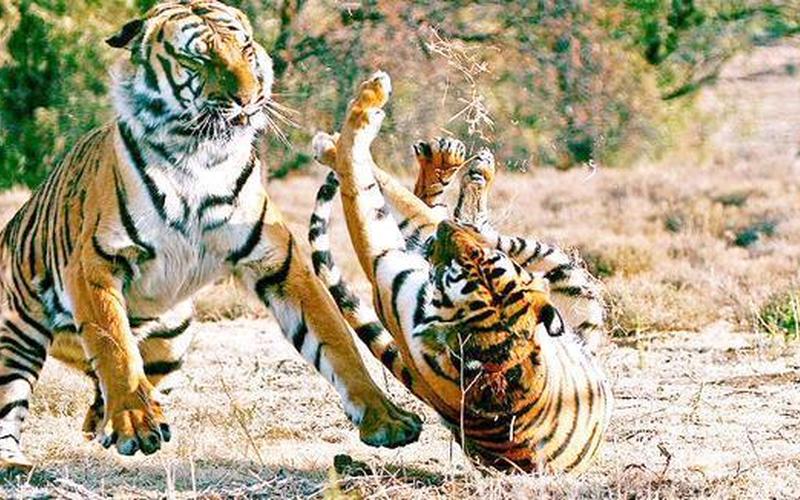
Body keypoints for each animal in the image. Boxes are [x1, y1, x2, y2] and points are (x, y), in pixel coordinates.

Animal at [0, 1, 421, 471]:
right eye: (198, 59)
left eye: (246, 49)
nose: (248, 98)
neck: (199, 157)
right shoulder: (96, 262)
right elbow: (114, 346)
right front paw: (134, 423)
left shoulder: (279, 261)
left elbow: (336, 340)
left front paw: (386, 418)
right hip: (15, 341)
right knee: (14, 403)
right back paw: (17, 464)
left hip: (171, 344)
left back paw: (103, 423)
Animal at [306, 71, 612, 473]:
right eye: (477, 259)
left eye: (456, 267)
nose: (447, 233)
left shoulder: (386, 265)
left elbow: (361, 181)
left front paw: (352, 121)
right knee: (437, 206)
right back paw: (452, 162)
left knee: (429, 212)